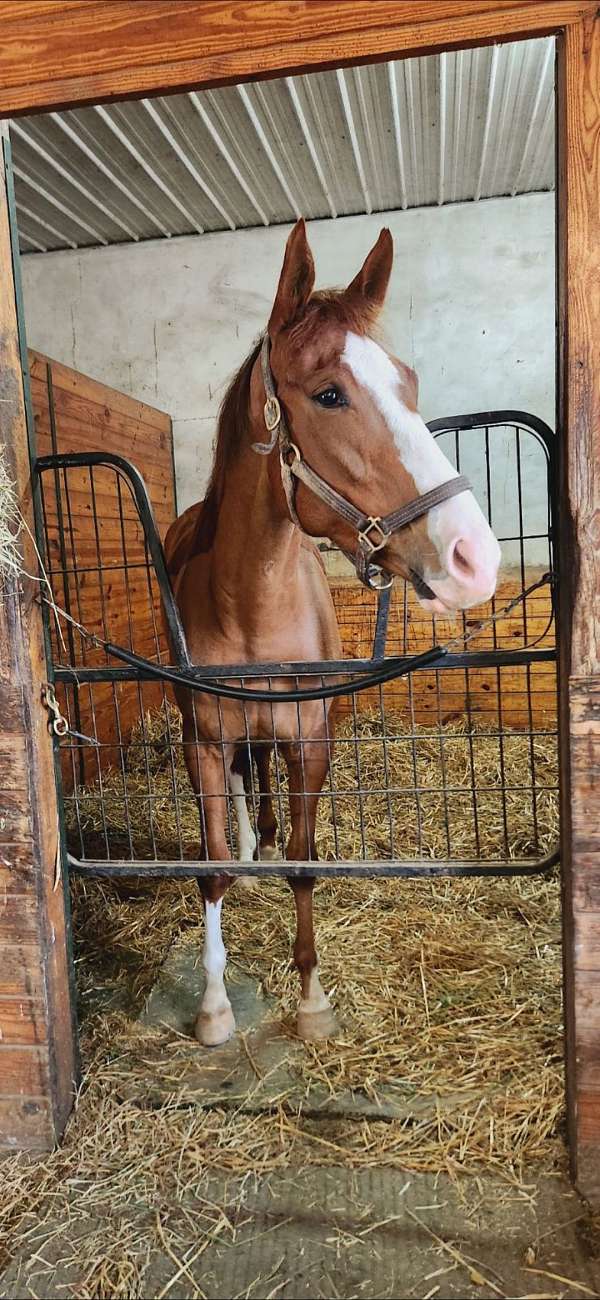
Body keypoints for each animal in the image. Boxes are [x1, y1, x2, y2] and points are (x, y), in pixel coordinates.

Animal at [162, 220, 496, 1045]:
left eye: (408, 382)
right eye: (329, 394)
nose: (475, 558)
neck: (253, 602)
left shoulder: (312, 735)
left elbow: (306, 857)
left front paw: (310, 999)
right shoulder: (202, 738)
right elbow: (213, 863)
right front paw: (214, 1006)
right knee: (246, 783)